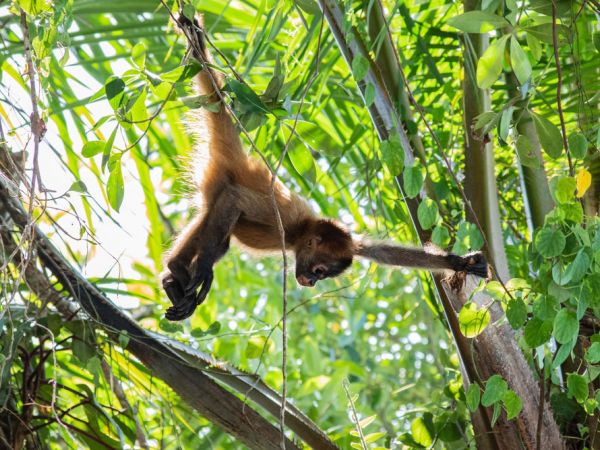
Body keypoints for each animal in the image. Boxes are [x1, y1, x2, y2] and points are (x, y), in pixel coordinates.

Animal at [162, 16, 490, 320]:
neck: (301, 232)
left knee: (217, 233)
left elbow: (382, 252)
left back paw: (170, 280)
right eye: (319, 270)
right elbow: (237, 198)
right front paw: (202, 270)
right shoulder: (285, 220)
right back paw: (180, 269)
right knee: (221, 220)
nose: (310, 282)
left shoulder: (351, 243)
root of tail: (239, 158)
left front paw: (458, 262)